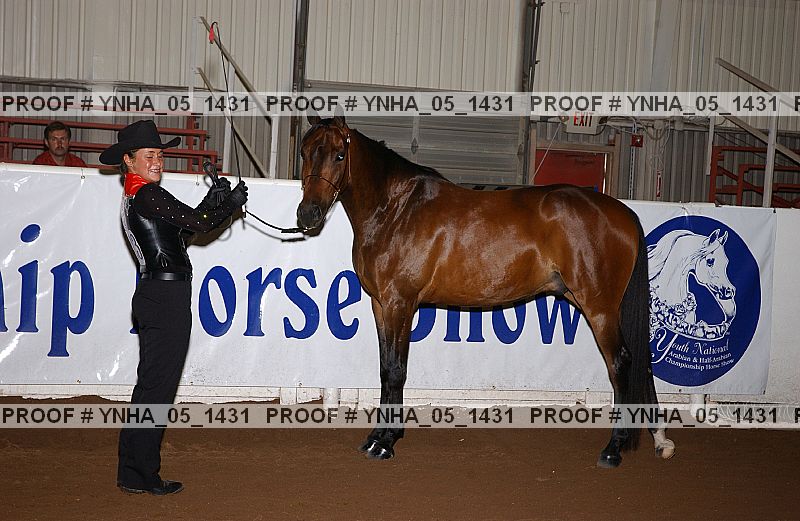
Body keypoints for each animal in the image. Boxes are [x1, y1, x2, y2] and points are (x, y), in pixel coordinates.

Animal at [296, 113, 675, 468]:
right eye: (305, 152)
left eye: (340, 154)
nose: (308, 214)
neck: (396, 209)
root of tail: (623, 212)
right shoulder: (380, 305)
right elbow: (384, 368)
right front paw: (376, 437)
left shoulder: (398, 304)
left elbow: (396, 370)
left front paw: (387, 442)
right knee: (641, 364)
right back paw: (658, 440)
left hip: (600, 308)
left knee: (621, 363)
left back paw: (614, 448)